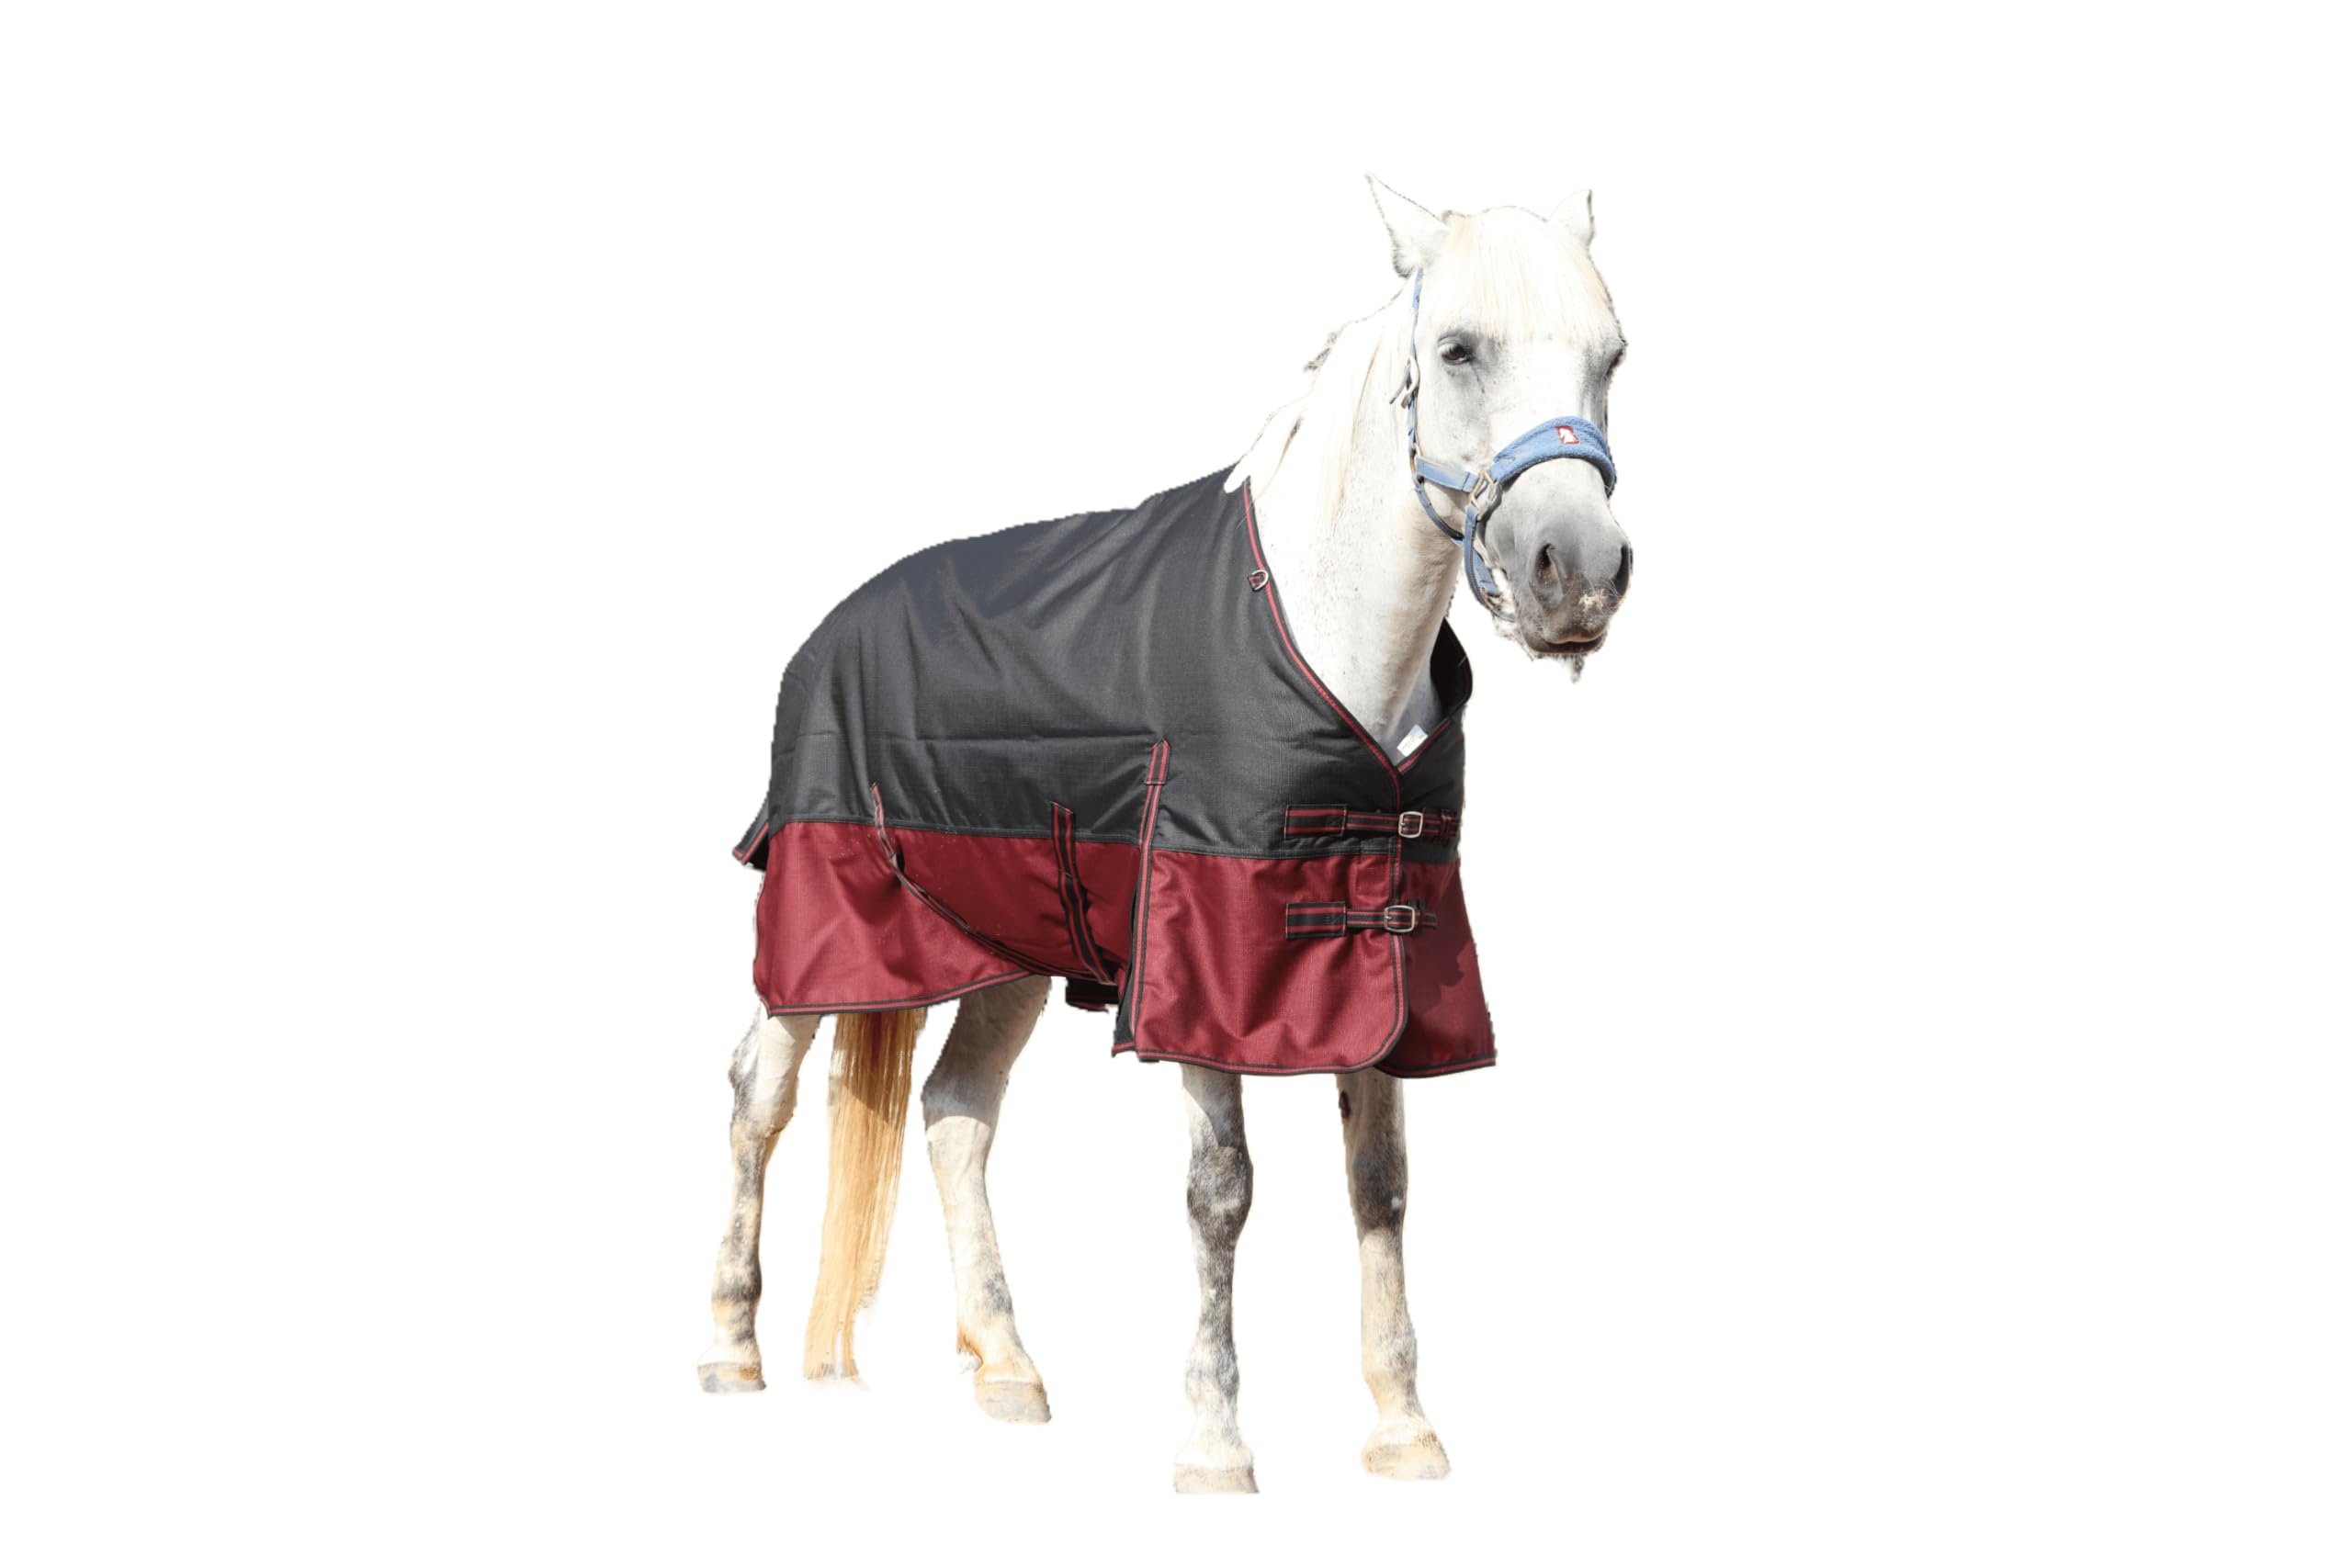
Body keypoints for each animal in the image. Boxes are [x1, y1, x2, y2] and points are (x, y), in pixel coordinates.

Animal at [698, 178, 1633, 1493]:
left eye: (1611, 357)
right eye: (1458, 349)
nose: (1577, 576)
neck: (1318, 624)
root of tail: (832, 627)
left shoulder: (1384, 960)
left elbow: (1381, 1187)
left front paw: (1403, 1430)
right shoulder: (1200, 968)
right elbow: (1221, 1193)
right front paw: (1214, 1444)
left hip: (1008, 947)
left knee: (954, 1114)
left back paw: (1008, 1367)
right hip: (821, 922)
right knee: (759, 1094)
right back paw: (732, 1348)